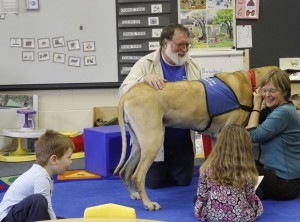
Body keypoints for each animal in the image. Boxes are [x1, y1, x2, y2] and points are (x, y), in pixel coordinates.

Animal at [113, 65, 278, 210]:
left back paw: (134, 194)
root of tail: (129, 92)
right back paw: (148, 203)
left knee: (125, 171)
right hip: (153, 139)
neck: (249, 79)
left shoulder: (217, 137)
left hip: (139, 143)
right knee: (138, 176)